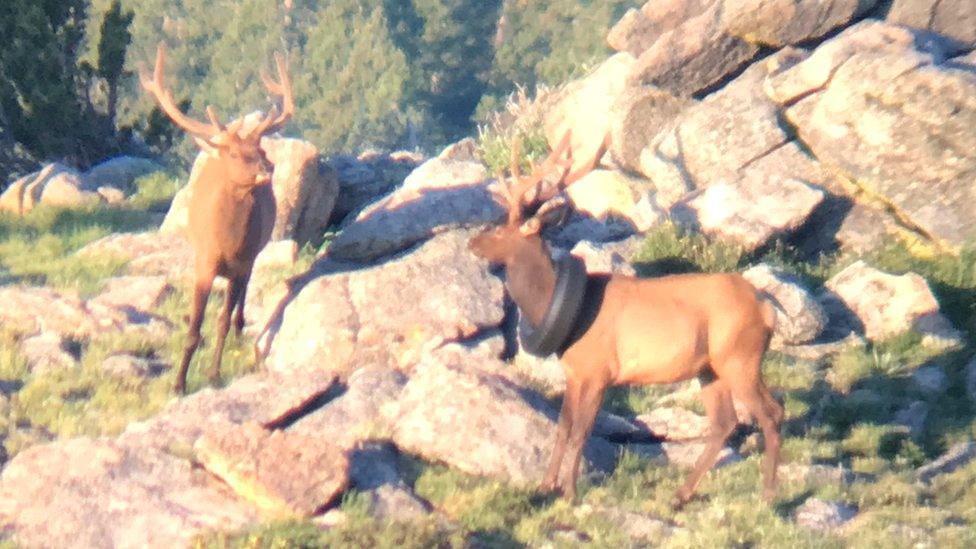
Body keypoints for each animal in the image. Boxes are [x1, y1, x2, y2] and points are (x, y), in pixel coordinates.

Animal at [140, 44, 294, 394]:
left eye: (261, 149)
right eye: (235, 154)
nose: (267, 170)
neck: (227, 243)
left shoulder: (242, 262)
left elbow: (221, 321)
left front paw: (213, 374)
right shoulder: (204, 262)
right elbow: (195, 327)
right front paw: (179, 384)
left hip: (253, 257)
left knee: (240, 300)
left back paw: (239, 328)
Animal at [468, 135, 780, 508]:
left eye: (502, 229)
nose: (472, 241)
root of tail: (766, 309)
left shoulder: (600, 371)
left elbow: (581, 431)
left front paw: (570, 492)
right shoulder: (575, 372)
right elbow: (563, 428)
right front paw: (545, 486)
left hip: (740, 357)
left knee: (771, 412)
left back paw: (768, 496)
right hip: (710, 368)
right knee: (725, 422)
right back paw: (680, 495)